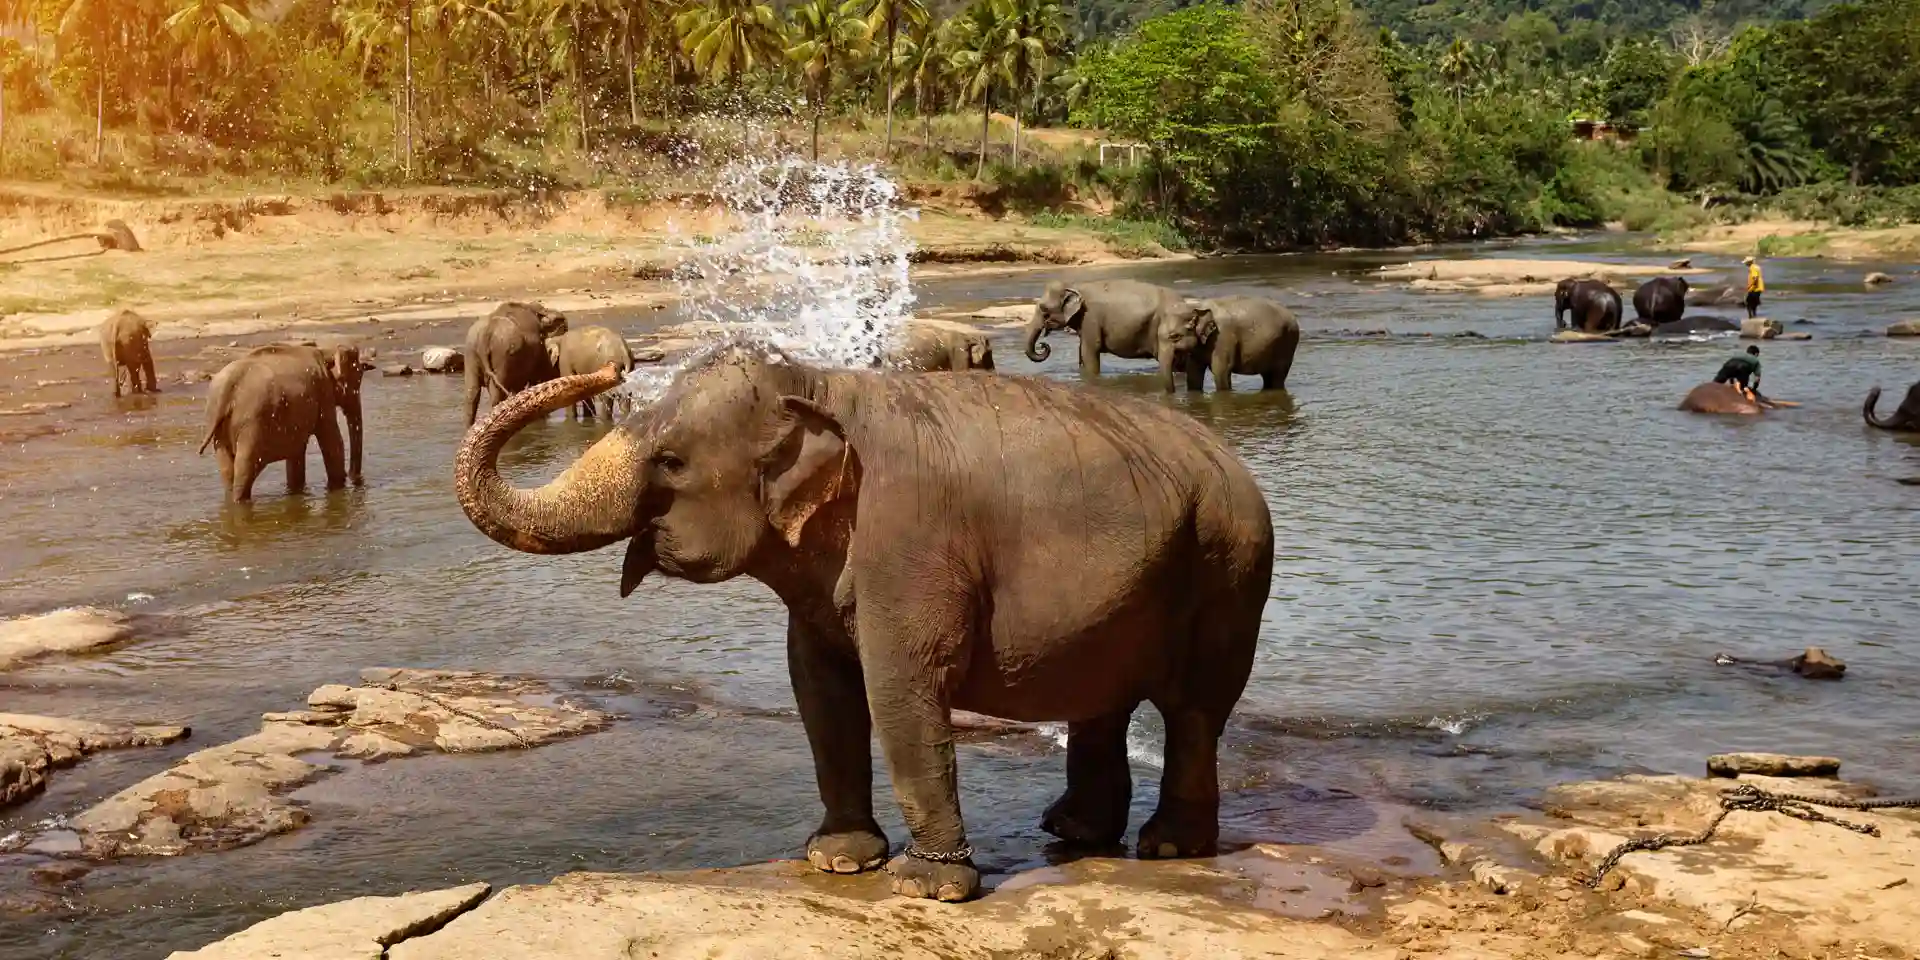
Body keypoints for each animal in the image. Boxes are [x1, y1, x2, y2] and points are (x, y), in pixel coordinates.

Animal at [199, 343, 364, 501]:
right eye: (357, 381)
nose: (354, 477)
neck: (325, 351)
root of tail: (227, 388)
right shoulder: (323, 392)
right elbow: (332, 440)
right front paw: (338, 487)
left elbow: (297, 452)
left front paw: (296, 491)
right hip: (253, 424)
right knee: (245, 468)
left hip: (218, 426)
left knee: (228, 471)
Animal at [453, 343, 1275, 902]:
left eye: (671, 461)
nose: (607, 372)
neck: (820, 385)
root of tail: (1232, 460)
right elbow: (820, 691)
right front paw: (840, 860)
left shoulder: (910, 543)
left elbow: (901, 688)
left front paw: (925, 888)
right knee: (1103, 702)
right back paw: (1073, 833)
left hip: (1229, 569)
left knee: (1194, 709)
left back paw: (1168, 849)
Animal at [1023, 280, 1210, 392]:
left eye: (1044, 309)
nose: (1043, 345)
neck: (1076, 286)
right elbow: (1082, 351)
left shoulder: (1090, 318)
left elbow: (1090, 351)